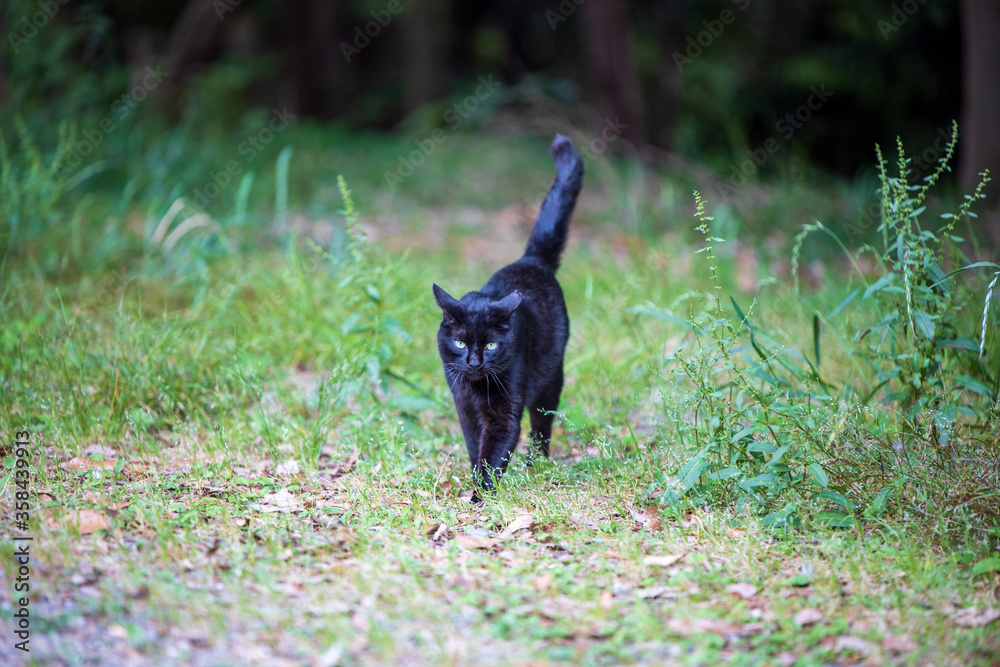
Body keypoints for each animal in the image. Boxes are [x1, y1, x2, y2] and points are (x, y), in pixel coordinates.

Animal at [432, 134, 584, 498]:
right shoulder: (464, 408)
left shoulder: (505, 412)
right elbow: (475, 446)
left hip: (550, 379)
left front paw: (482, 494)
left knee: (542, 426)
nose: (474, 363)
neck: (475, 387)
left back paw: (537, 464)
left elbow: (494, 451)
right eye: (460, 343)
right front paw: (475, 480)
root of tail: (531, 259)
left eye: (490, 346)